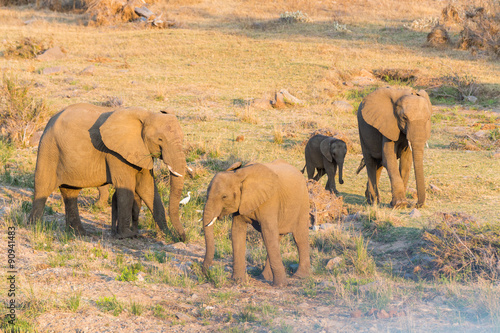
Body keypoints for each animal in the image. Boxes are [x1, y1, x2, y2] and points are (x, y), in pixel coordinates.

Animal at [28, 101, 188, 239]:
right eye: (160, 139)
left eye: (182, 138)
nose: (183, 237)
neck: (148, 115)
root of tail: (50, 120)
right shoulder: (115, 154)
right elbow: (126, 187)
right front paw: (127, 236)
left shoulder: (141, 150)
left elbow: (148, 188)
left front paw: (167, 235)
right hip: (49, 149)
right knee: (43, 187)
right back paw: (35, 228)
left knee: (70, 192)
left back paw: (78, 233)